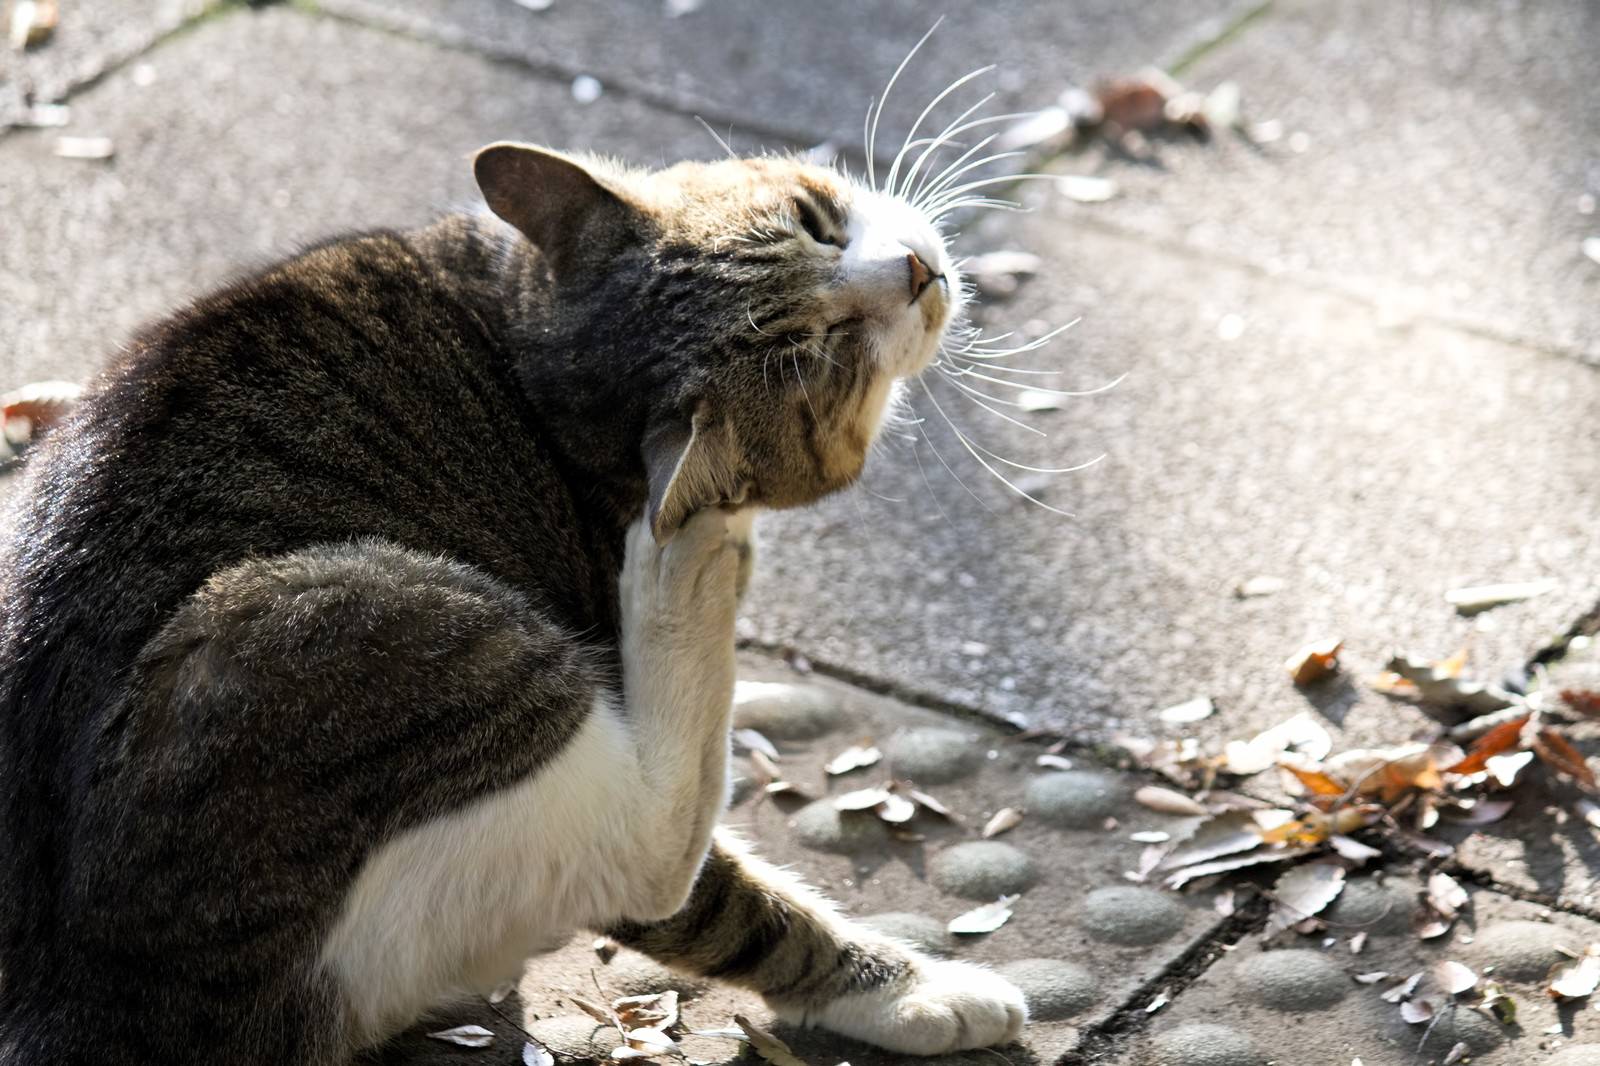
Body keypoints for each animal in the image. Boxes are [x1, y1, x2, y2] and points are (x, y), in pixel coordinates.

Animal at [0, 143, 1024, 1062]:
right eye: (831, 354)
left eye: (818, 221)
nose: (919, 271)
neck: (544, 376)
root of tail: (61, 1004)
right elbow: (722, 910)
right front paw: (927, 993)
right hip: (380, 630)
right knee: (646, 851)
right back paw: (690, 581)